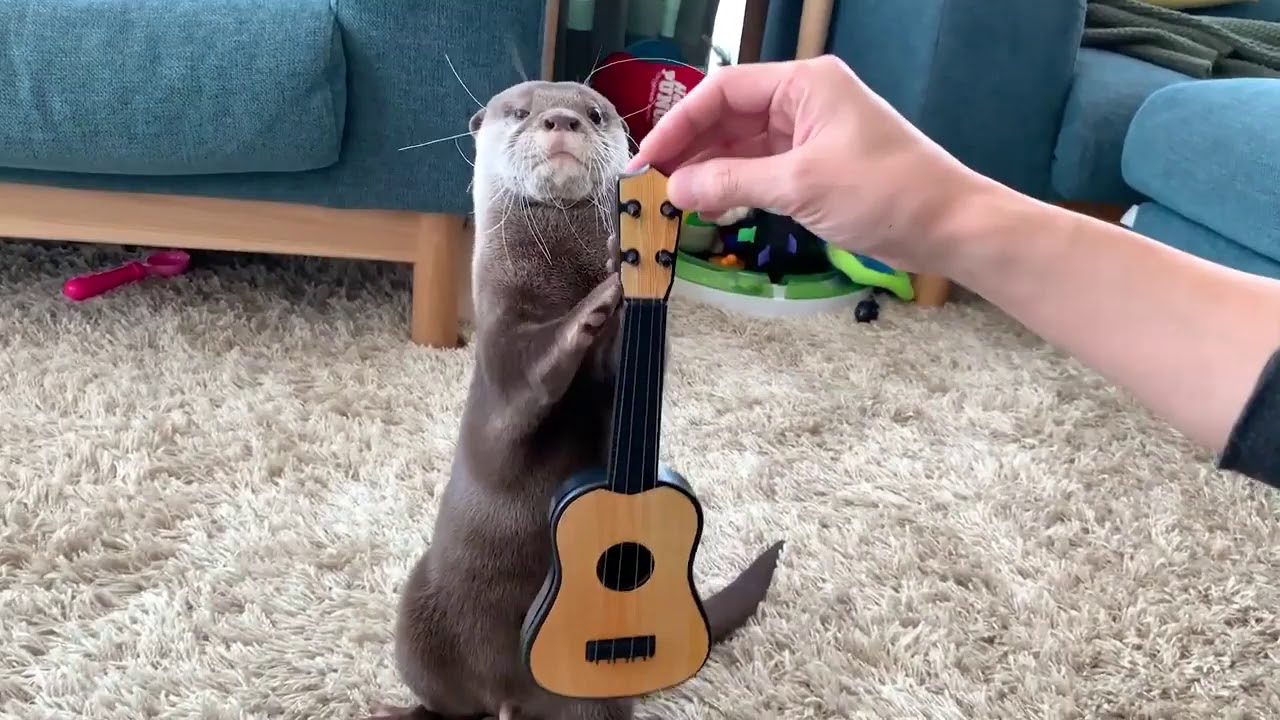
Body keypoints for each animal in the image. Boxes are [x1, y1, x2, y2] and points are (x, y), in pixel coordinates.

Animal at [372, 81, 784, 720]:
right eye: (520, 111)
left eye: (594, 112)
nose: (561, 120)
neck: (557, 275)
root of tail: (507, 694)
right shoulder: (502, 354)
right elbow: (530, 380)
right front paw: (602, 297)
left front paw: (621, 284)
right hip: (417, 618)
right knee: (445, 702)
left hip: (596, 698)